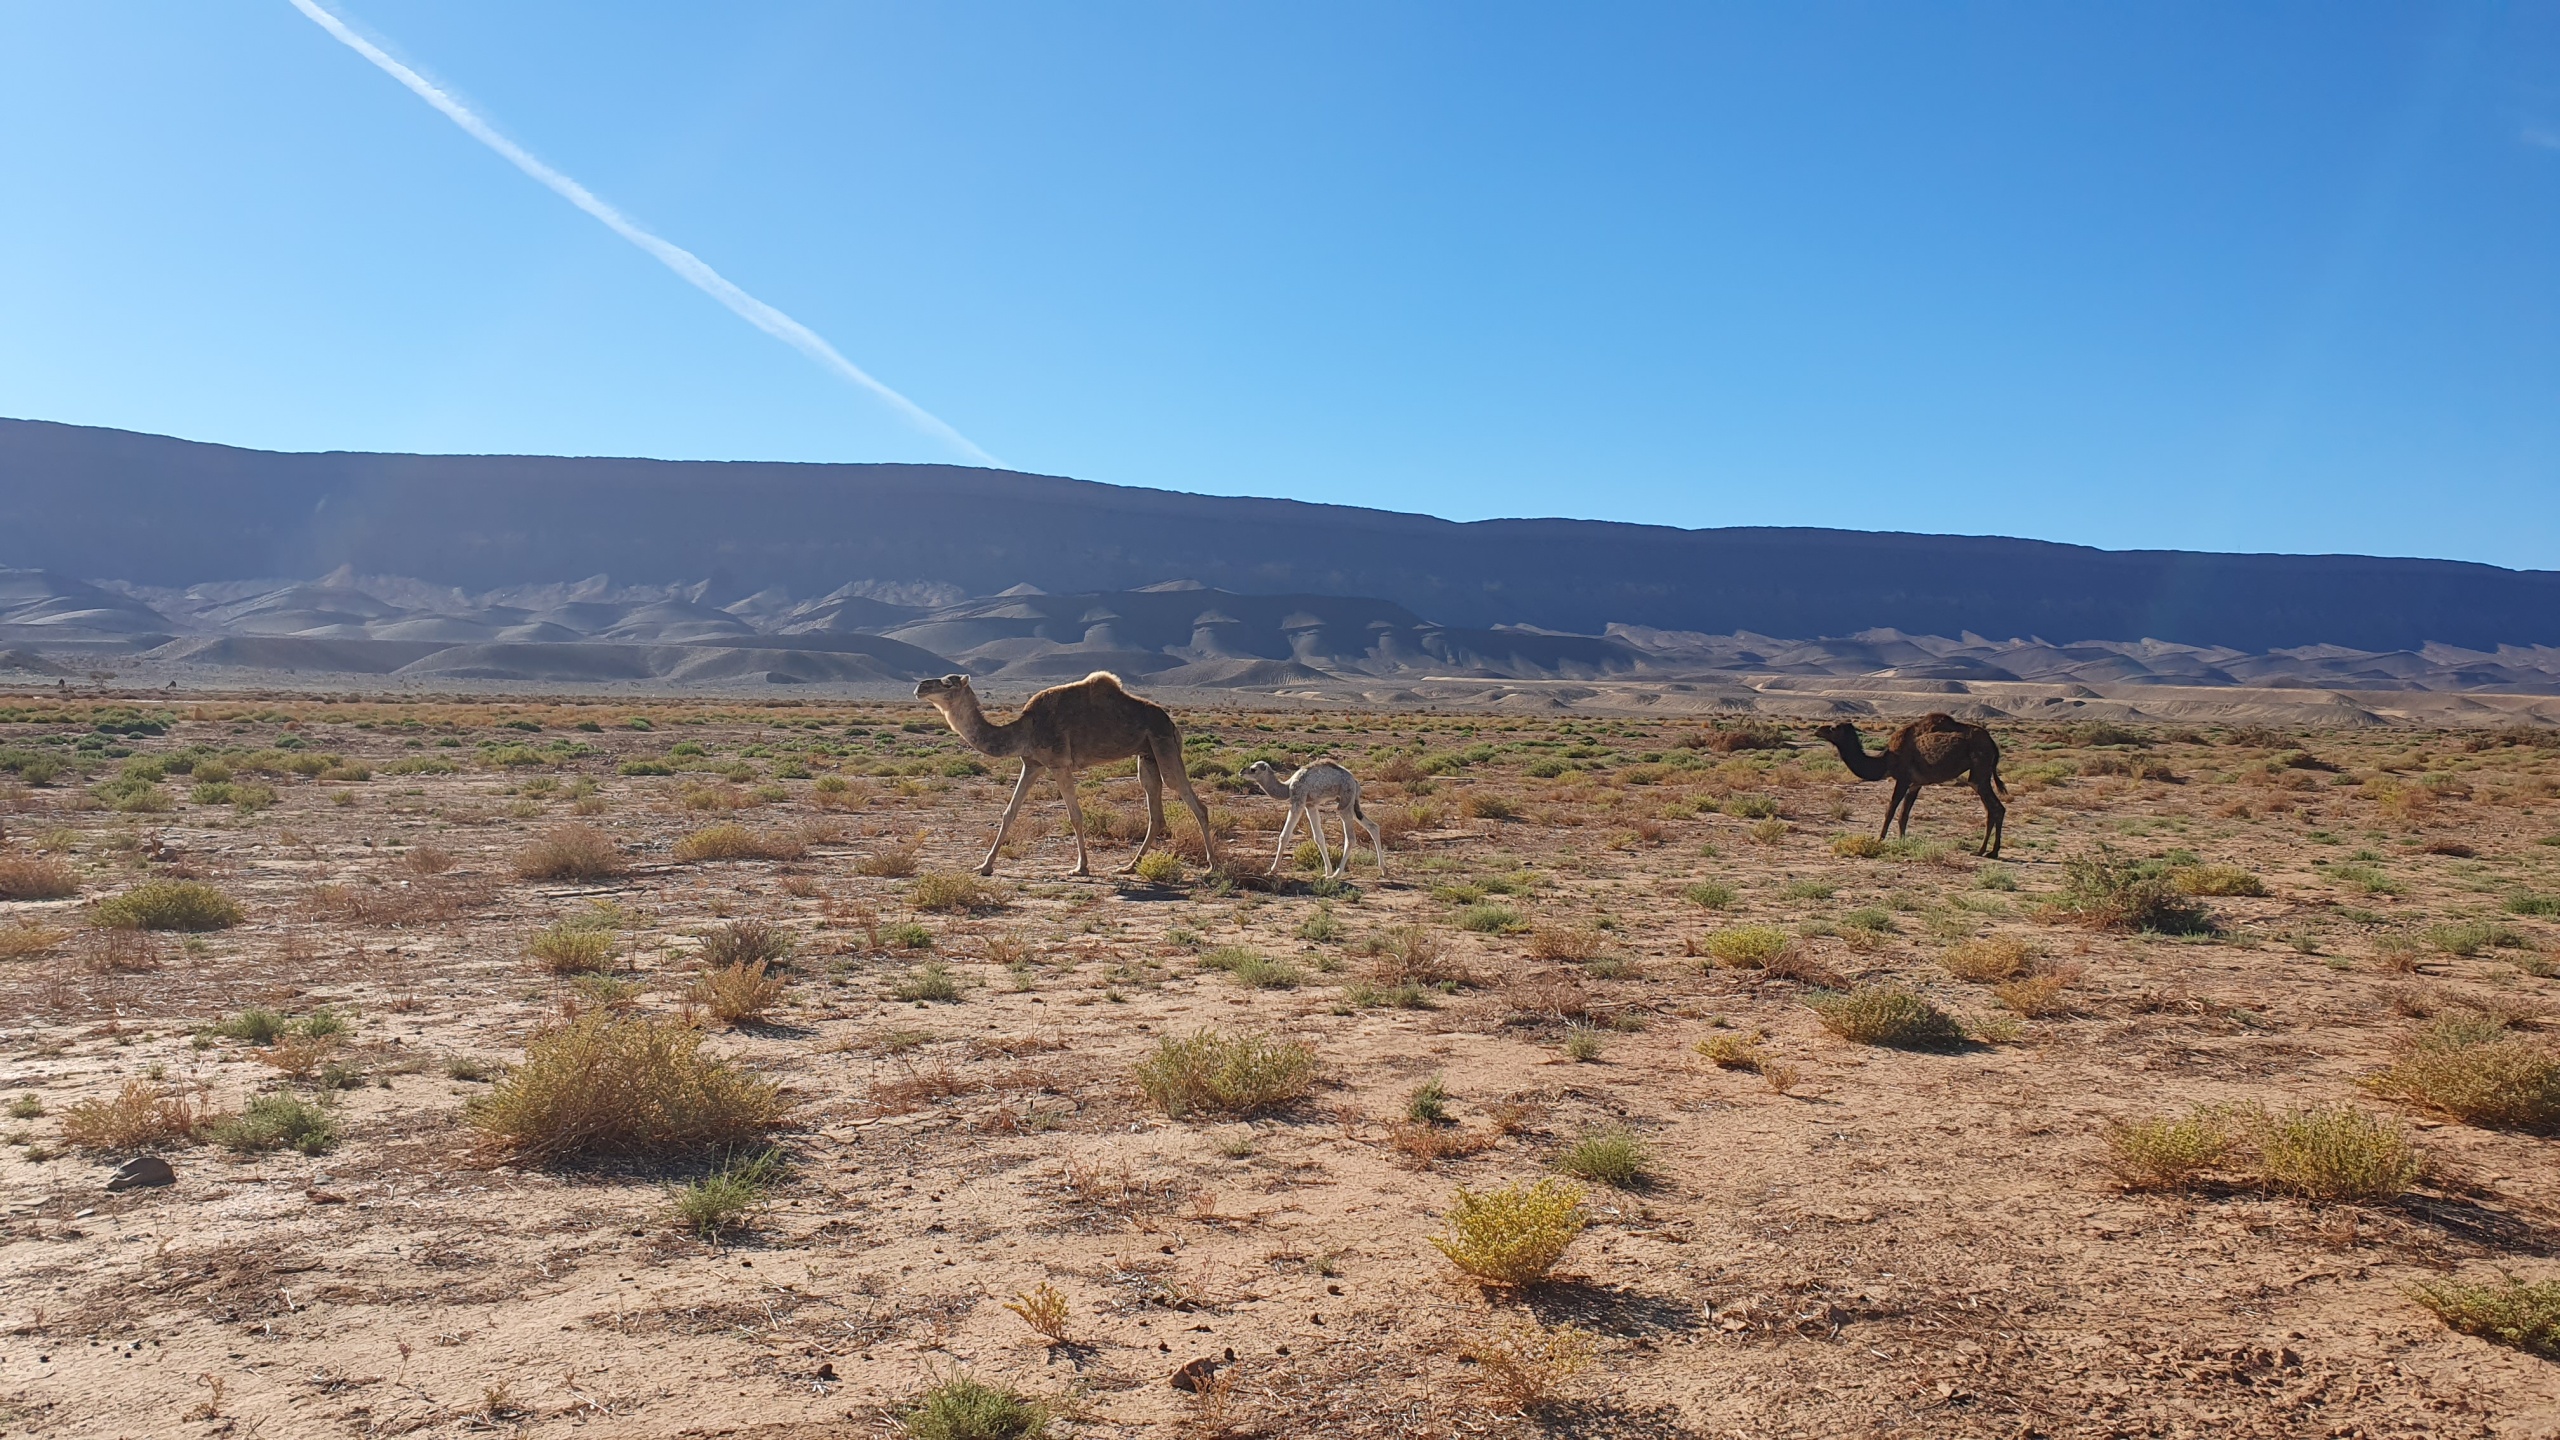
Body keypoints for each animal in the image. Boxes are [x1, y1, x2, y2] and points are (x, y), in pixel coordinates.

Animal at [914, 671, 1220, 878]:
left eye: (948, 683)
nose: (920, 686)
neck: (1025, 728)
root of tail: (1172, 723)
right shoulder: (1033, 764)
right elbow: (1009, 812)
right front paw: (985, 865)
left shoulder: (1059, 764)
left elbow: (1075, 815)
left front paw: (1081, 867)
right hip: (1147, 756)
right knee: (1155, 812)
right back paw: (1129, 867)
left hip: (1163, 744)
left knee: (1193, 801)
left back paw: (1212, 866)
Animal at [1241, 760, 1386, 880]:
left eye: (1253, 769)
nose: (1241, 771)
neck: (1287, 787)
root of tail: (1354, 780)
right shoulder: (1310, 805)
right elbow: (1318, 837)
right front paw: (1327, 871)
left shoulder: (1298, 800)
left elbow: (1284, 835)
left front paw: (1271, 871)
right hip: (1350, 803)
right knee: (1373, 826)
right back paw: (1384, 869)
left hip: (1345, 800)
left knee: (1350, 838)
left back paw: (1336, 875)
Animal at [1812, 713, 2008, 857]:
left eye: (1833, 728)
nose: (1817, 730)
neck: (1886, 760)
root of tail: (1993, 744)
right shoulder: (1915, 784)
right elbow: (1903, 815)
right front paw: (1902, 842)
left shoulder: (1903, 779)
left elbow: (1891, 810)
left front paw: (1878, 841)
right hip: (1981, 774)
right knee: (1994, 809)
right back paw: (1990, 851)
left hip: (1979, 772)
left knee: (1994, 807)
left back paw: (1984, 851)